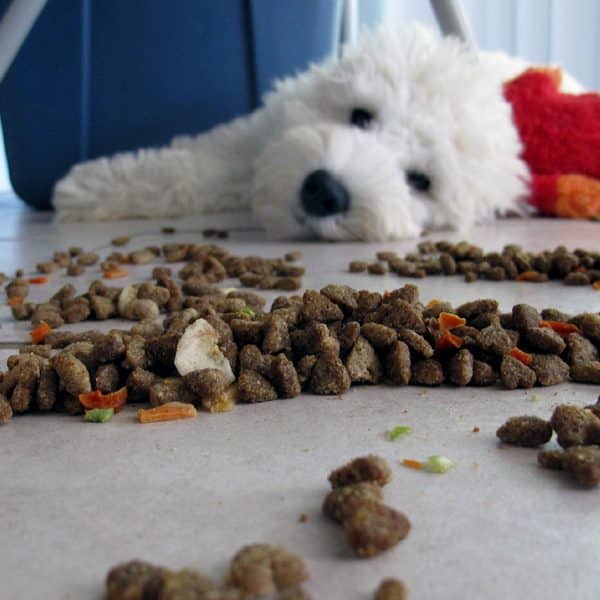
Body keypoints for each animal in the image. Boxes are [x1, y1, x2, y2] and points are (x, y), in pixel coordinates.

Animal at [51, 25, 576, 241]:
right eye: (360, 116)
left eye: (420, 181)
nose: (324, 192)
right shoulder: (260, 136)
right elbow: (192, 166)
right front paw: (88, 187)